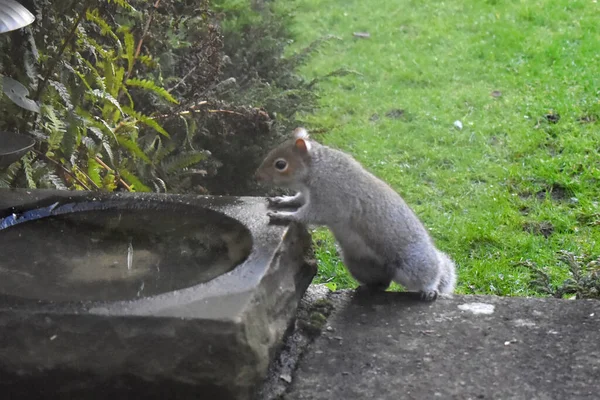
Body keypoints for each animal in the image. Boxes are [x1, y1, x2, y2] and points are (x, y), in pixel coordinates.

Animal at [255, 128, 458, 300]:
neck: (316, 169)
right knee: (383, 282)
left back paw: (429, 289)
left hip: (412, 262)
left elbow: (310, 214)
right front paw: (282, 200)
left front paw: (285, 216)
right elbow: (297, 200)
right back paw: (369, 288)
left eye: (281, 164)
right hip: (359, 264)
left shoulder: (330, 198)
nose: (258, 176)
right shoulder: (306, 195)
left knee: (429, 274)